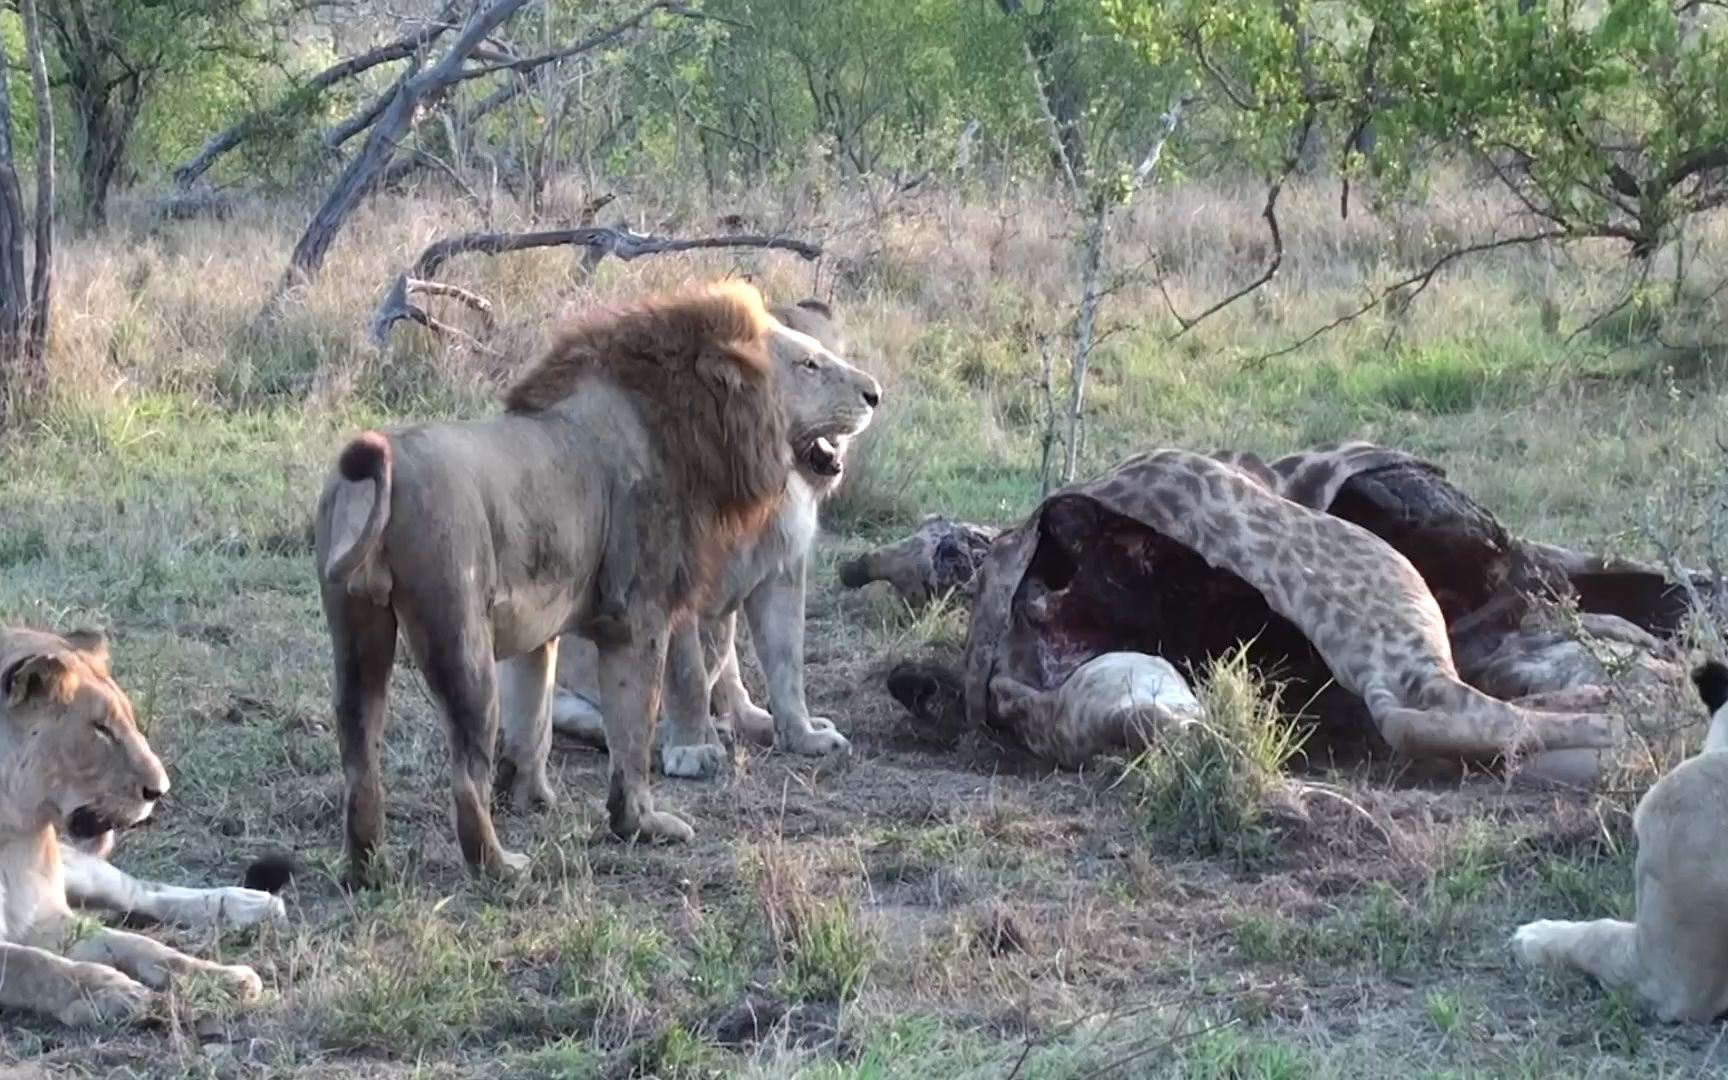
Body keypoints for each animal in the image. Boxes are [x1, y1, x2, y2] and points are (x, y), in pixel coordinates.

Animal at [0, 628, 276, 1022]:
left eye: (127, 721)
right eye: (100, 729)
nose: (159, 790)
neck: (14, 836)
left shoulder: (45, 916)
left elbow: (141, 946)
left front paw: (216, 977)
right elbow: (37, 966)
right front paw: (110, 991)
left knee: (141, 891)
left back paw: (250, 904)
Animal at [317, 281, 877, 881]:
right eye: (810, 363)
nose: (875, 394)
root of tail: (383, 470)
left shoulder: (542, 628)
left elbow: (533, 716)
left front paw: (532, 797)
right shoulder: (643, 615)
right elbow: (637, 727)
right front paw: (642, 823)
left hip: (357, 634)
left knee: (359, 757)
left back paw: (365, 866)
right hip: (461, 639)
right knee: (467, 775)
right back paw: (502, 866)